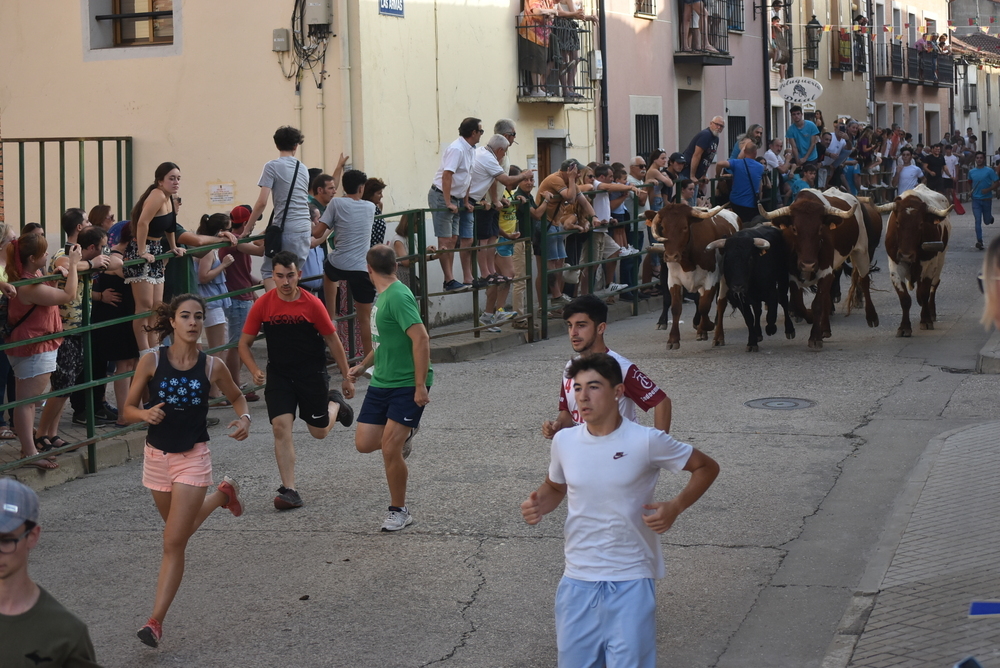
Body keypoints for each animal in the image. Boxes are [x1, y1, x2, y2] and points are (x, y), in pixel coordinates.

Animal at [644, 204, 740, 350]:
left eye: (684, 227)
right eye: (663, 227)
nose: (671, 256)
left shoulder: (710, 279)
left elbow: (704, 306)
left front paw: (707, 325)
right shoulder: (673, 279)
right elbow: (676, 307)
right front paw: (673, 339)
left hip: (724, 278)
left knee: (720, 304)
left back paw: (717, 336)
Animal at [760, 185, 880, 348]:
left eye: (820, 229)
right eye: (794, 229)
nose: (808, 264)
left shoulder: (825, 271)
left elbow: (817, 304)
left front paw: (815, 337)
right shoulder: (793, 275)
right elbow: (799, 303)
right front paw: (811, 320)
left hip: (862, 250)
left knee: (864, 280)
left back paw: (872, 317)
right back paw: (826, 329)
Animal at [880, 183, 948, 336]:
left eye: (921, 224)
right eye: (897, 222)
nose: (906, 255)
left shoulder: (929, 265)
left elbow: (924, 293)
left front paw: (926, 320)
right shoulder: (895, 266)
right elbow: (905, 298)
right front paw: (904, 327)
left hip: (940, 260)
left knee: (934, 285)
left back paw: (931, 312)